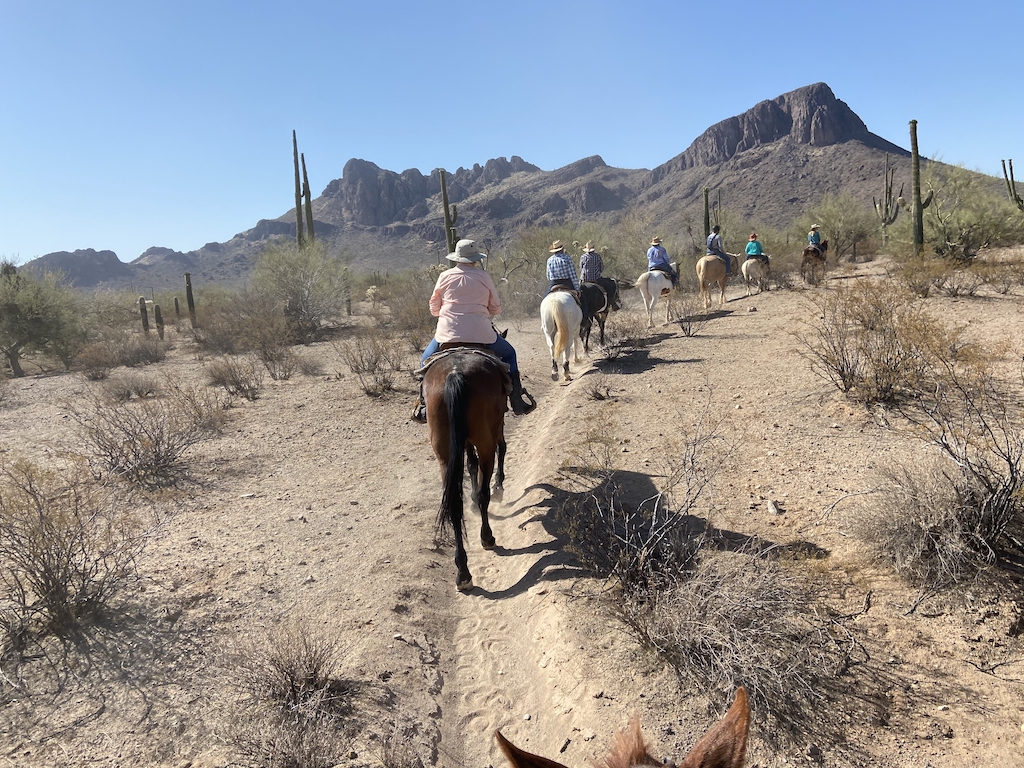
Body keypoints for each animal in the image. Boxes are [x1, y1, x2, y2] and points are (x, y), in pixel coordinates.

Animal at [419, 352, 507, 593]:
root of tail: (455, 374)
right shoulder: (497, 427)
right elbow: (500, 448)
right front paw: (498, 485)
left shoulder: (463, 441)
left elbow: (470, 464)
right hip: (485, 441)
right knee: (484, 491)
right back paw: (487, 537)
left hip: (444, 453)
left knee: (453, 505)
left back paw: (463, 572)